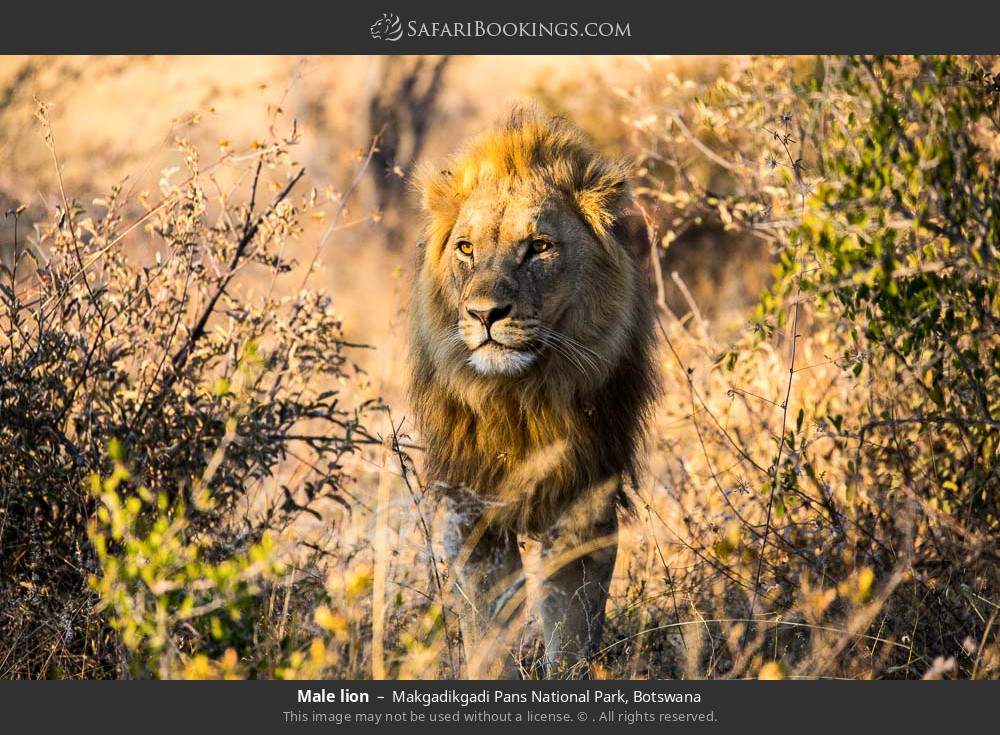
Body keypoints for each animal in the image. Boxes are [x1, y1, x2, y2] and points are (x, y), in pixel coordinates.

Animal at [406, 109, 656, 680]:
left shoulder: (583, 506)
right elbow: (487, 633)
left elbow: (570, 629)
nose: (484, 314)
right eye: (466, 248)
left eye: (539, 247)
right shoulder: (471, 512)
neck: (519, 398)